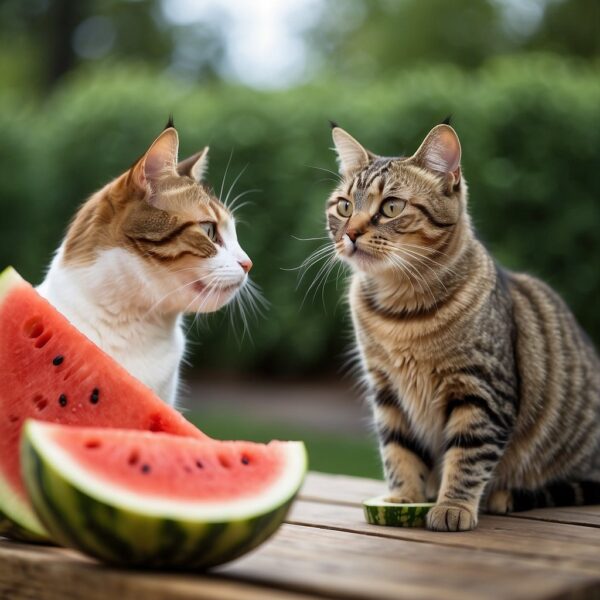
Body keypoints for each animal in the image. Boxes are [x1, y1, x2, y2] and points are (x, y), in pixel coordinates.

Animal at [326, 120, 600, 528]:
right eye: (344, 206)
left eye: (391, 207)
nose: (351, 233)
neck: (400, 313)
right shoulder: (387, 391)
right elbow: (399, 450)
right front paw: (405, 498)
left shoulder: (480, 390)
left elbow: (468, 455)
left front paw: (452, 505)